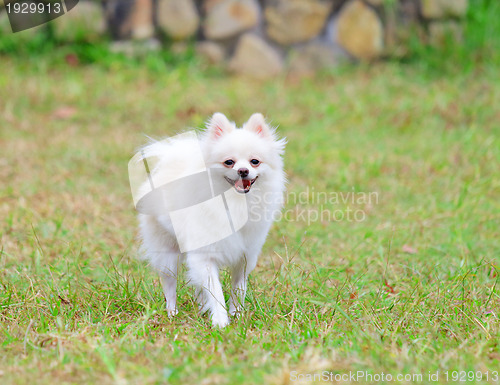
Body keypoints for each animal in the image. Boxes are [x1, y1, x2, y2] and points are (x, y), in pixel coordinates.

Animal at [133, 112, 286, 326]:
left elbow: (238, 288)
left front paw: (236, 314)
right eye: (229, 162)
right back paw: (172, 312)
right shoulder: (204, 257)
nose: (243, 170)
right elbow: (216, 292)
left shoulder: (245, 256)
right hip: (166, 252)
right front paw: (221, 321)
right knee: (169, 283)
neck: (235, 203)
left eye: (254, 161)